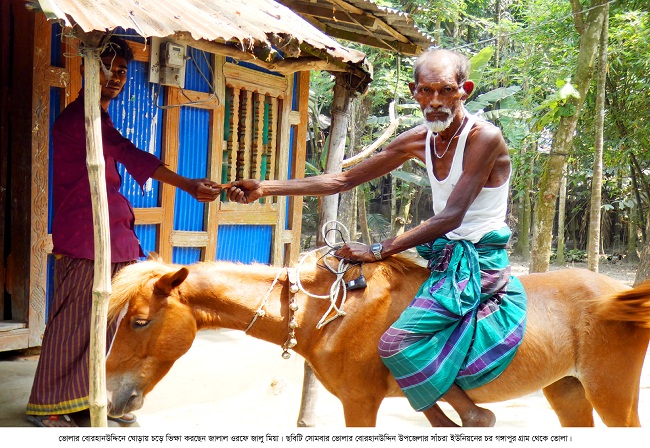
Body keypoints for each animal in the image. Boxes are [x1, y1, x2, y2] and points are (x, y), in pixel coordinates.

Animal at [104, 248, 644, 428]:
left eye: (139, 321)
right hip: (568, 392)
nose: (111, 401)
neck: (324, 314)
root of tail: (620, 293)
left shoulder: (360, 403)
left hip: (612, 394)